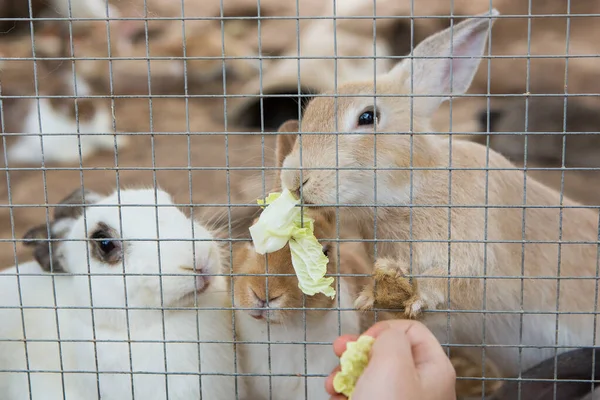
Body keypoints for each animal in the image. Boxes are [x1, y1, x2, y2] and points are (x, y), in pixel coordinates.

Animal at [278, 7, 600, 380]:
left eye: (367, 117)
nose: (295, 179)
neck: (414, 187)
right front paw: (369, 298)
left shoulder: (469, 254)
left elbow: (448, 281)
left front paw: (414, 298)